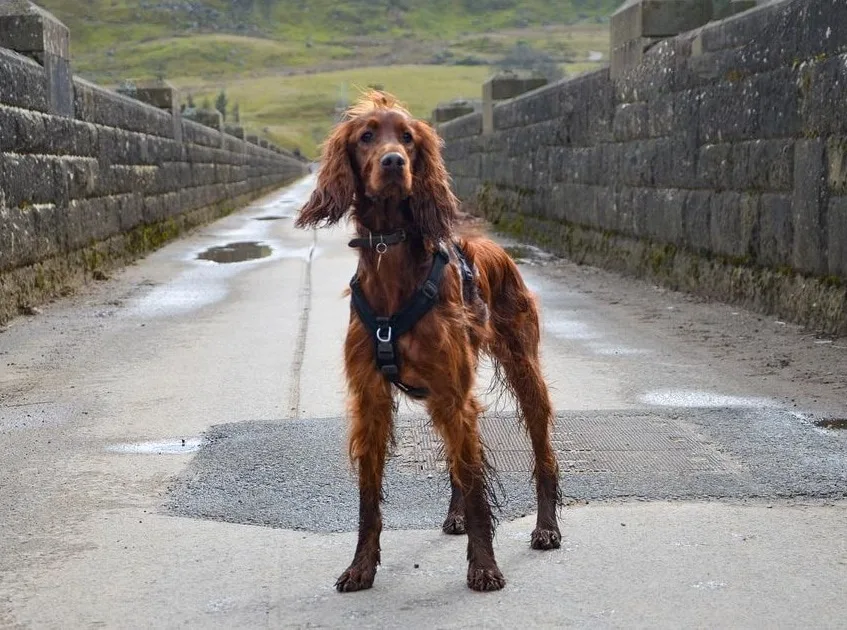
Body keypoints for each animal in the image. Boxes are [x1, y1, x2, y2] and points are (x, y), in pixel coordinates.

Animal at [294, 91, 560, 596]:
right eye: (366, 136)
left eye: (408, 138)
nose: (394, 162)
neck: (392, 262)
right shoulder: (373, 399)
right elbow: (370, 497)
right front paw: (360, 567)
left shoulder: (455, 395)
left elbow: (476, 488)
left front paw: (484, 567)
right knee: (457, 459)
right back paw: (455, 517)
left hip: (523, 372)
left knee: (541, 452)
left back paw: (547, 526)